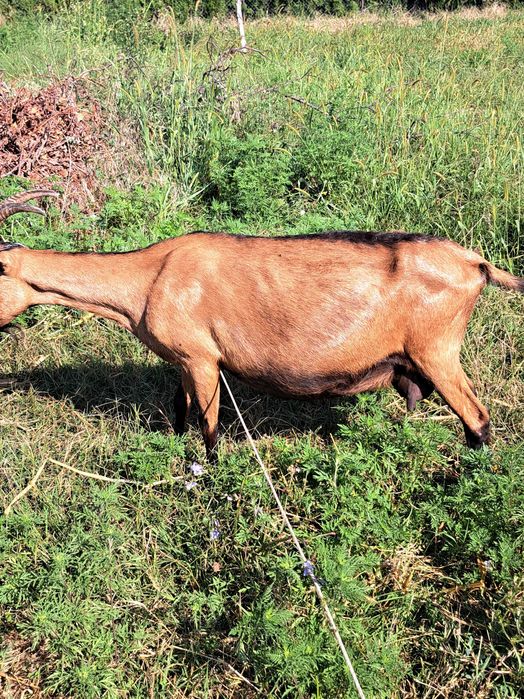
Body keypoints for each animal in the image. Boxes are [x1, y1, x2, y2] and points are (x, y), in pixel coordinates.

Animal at [1, 189, 522, 458]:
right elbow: (179, 410)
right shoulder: (184, 361)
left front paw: (209, 478)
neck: (151, 277)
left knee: (478, 419)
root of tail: (476, 264)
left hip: (437, 351)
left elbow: (209, 426)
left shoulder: (203, 359)